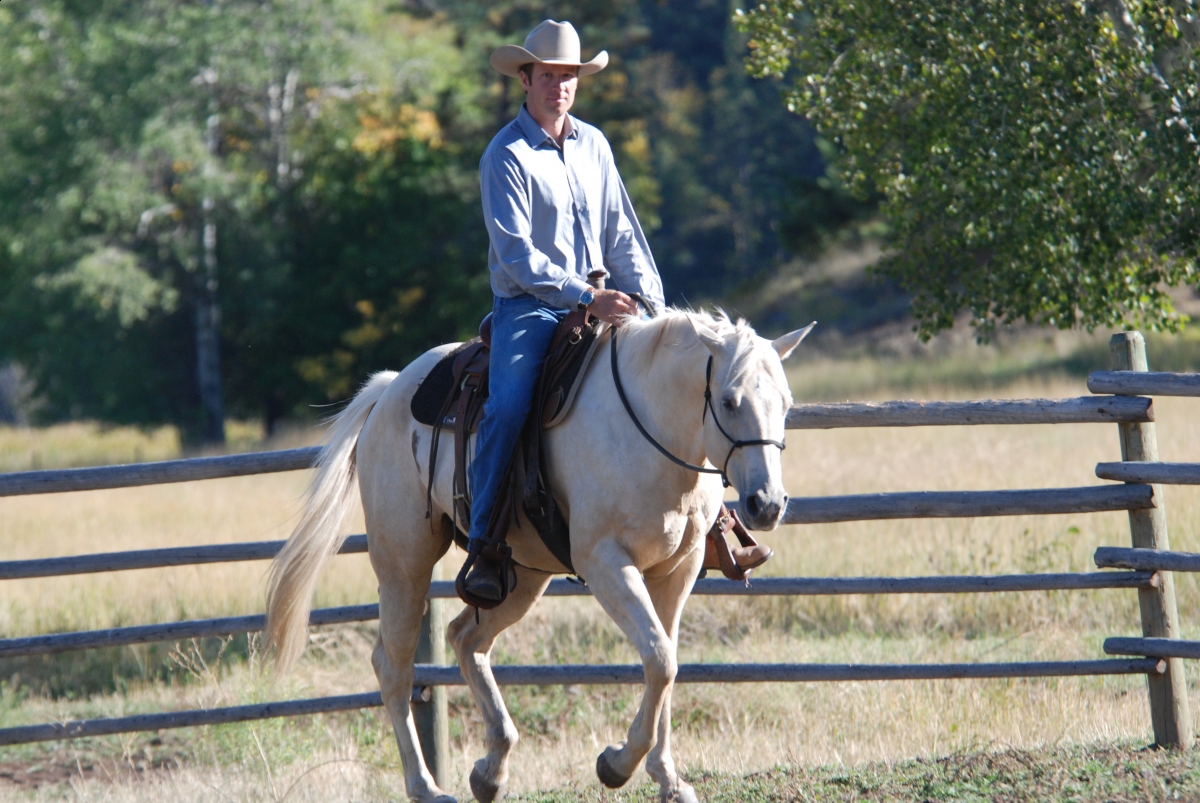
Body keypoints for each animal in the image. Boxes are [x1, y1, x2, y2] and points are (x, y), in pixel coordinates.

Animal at [264, 309, 812, 803]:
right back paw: (426, 787)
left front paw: (669, 780)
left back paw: (490, 770)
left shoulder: (677, 571)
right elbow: (659, 659)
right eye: (730, 400)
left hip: (521, 575)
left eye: (786, 402)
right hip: (403, 565)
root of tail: (391, 389)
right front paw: (617, 764)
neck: (649, 430)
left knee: (465, 638)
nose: (767, 504)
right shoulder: (606, 563)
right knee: (393, 666)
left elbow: (668, 666)